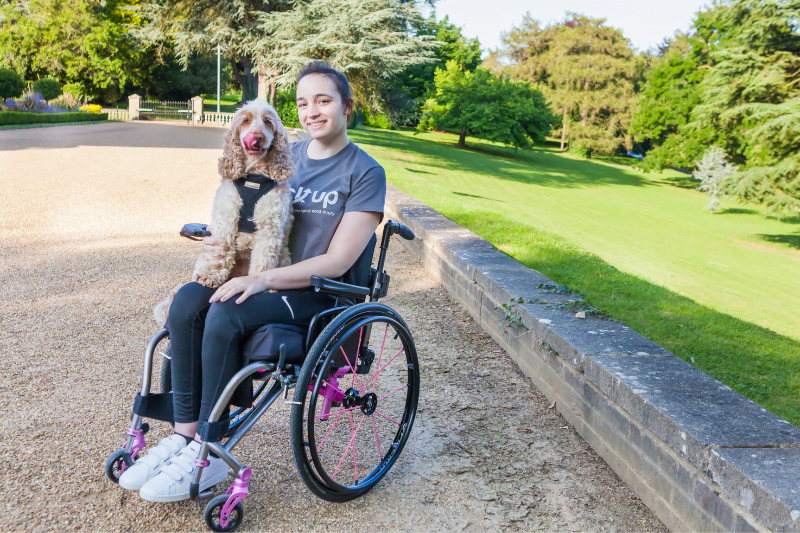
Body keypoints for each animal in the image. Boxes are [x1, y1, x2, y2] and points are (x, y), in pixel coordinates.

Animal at [153, 97, 294, 326]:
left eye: (268, 121)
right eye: (246, 120)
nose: (257, 137)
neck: (254, 177)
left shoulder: (270, 226)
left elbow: (263, 260)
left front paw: (259, 284)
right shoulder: (226, 215)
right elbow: (219, 253)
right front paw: (210, 276)